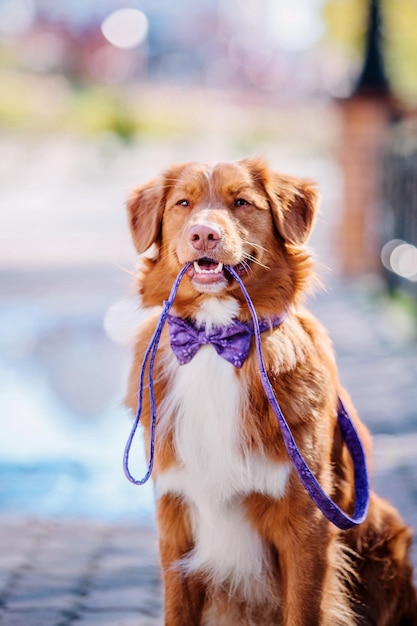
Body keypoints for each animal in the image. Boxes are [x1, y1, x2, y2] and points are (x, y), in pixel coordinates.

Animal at [124, 160, 416, 624]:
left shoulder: (307, 524)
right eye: (183, 203)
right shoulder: (175, 522)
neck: (215, 341)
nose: (203, 234)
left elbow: (303, 609)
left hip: (386, 533)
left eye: (242, 202)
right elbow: (178, 610)